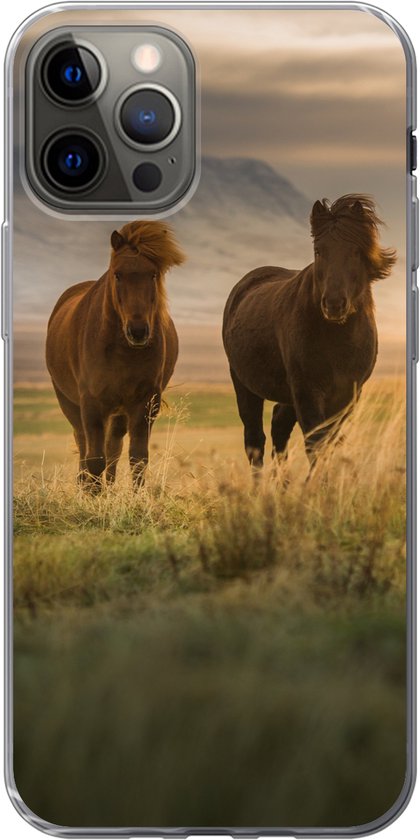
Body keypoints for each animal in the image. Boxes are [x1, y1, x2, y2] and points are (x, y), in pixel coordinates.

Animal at [46, 221, 185, 490]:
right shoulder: (91, 403)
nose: (138, 331)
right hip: (70, 403)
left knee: (113, 449)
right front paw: (92, 495)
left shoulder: (145, 402)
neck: (122, 352)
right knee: (84, 446)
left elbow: (137, 459)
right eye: (118, 274)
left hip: (119, 412)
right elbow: (94, 460)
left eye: (153, 274)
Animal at [223, 194, 396, 469]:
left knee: (278, 427)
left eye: (356, 251)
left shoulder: (347, 396)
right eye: (318, 251)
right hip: (244, 385)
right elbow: (316, 445)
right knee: (255, 441)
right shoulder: (308, 392)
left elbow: (328, 445)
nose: (334, 304)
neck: (338, 340)